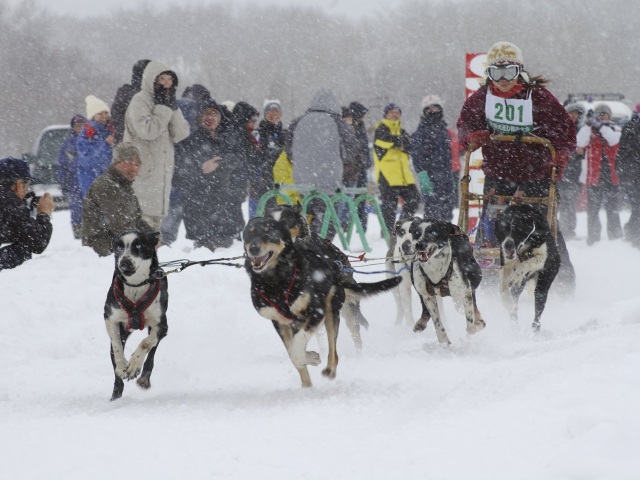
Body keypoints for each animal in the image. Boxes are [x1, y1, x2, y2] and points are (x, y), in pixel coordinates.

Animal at [103, 231, 168, 400]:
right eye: (118, 246)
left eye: (138, 245)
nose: (124, 262)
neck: (135, 286)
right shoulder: (110, 318)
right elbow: (117, 345)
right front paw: (122, 366)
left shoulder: (161, 326)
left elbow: (145, 343)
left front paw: (133, 365)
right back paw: (115, 395)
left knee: (151, 354)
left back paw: (143, 377)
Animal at [244, 217, 400, 386]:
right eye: (249, 233)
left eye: (269, 232)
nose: (253, 248)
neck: (277, 281)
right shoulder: (280, 322)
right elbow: (293, 352)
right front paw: (310, 361)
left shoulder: (316, 311)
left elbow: (297, 347)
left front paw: (308, 357)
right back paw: (307, 385)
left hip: (332, 309)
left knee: (335, 347)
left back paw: (331, 368)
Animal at [492, 202, 556, 330]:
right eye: (502, 229)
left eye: (516, 229)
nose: (508, 245)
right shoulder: (506, 262)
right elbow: (503, 286)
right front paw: (507, 302)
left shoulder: (545, 257)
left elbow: (526, 264)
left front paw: (517, 273)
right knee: (515, 296)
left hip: (543, 284)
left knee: (538, 307)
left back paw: (535, 328)